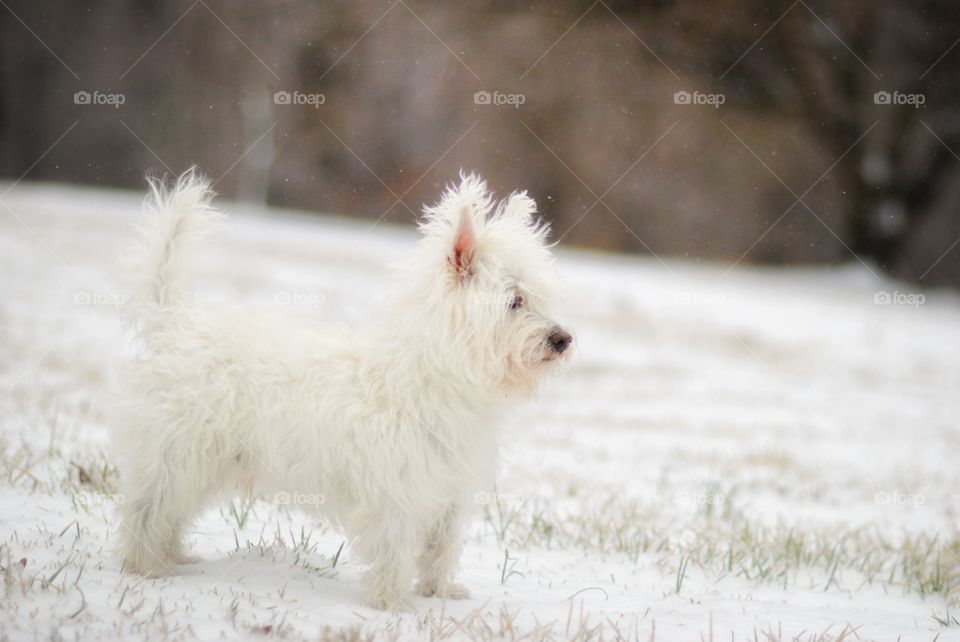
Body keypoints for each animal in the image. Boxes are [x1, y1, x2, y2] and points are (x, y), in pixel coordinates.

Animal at [116, 168, 572, 608]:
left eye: (538, 298)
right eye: (514, 301)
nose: (563, 339)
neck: (435, 376)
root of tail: (175, 325)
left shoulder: (448, 492)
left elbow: (439, 549)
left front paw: (440, 593)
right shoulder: (396, 494)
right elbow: (394, 551)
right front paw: (392, 604)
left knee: (168, 514)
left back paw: (174, 556)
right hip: (178, 456)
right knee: (148, 511)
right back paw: (149, 567)